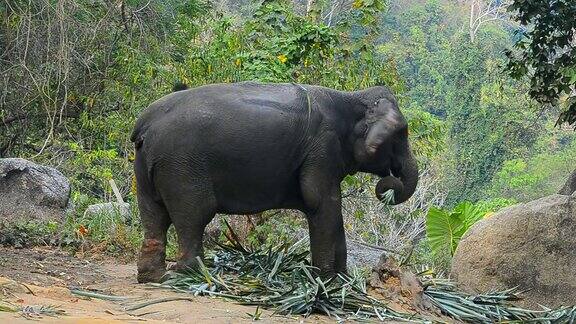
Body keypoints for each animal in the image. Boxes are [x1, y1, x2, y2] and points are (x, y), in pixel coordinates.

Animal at [130, 81, 418, 284]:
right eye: (402, 133)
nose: (388, 183)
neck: (350, 97)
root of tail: (144, 124)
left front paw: (341, 281)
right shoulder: (322, 150)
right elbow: (321, 201)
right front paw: (327, 283)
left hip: (147, 165)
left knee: (153, 215)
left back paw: (154, 277)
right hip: (183, 166)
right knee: (194, 215)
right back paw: (191, 275)